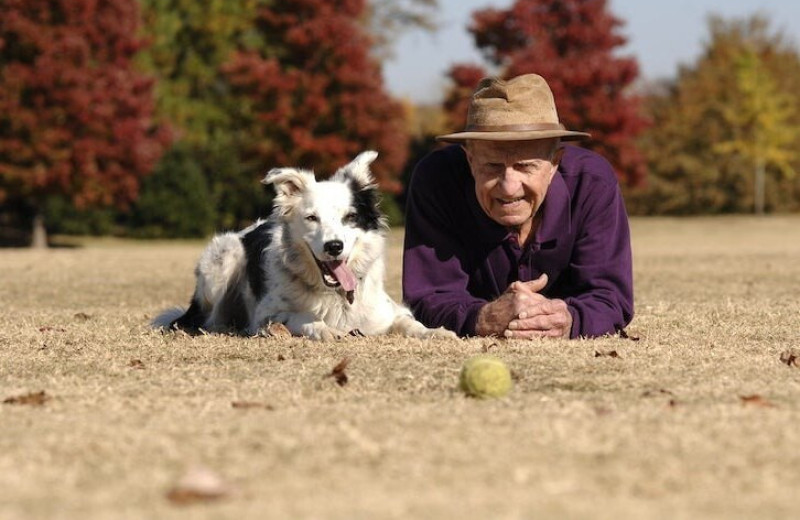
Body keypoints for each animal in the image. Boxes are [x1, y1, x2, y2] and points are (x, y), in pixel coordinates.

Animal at [155, 152, 456, 342]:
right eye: (312, 218)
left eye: (350, 217)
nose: (334, 246)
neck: (336, 296)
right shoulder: (267, 314)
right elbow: (301, 318)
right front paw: (323, 329)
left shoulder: (387, 312)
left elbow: (410, 322)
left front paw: (435, 332)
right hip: (225, 258)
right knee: (209, 318)